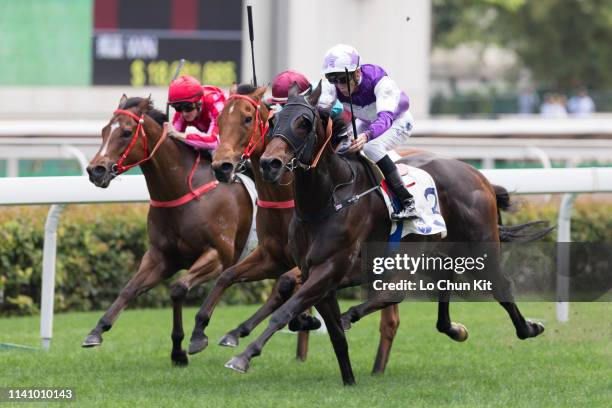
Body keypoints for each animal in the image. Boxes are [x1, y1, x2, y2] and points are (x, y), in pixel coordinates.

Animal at [83, 96, 253, 366]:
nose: (95, 171)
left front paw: (191, 341)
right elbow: (130, 289)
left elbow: (178, 288)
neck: (182, 190)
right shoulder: (161, 257)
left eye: (127, 132)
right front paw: (97, 330)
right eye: (104, 131)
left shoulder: (219, 255)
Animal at [226, 83, 548, 386]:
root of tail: (478, 175)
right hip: (434, 252)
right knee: (426, 287)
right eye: (273, 120)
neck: (326, 202)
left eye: (304, 122)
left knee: (499, 286)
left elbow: (285, 312)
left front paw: (243, 356)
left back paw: (529, 327)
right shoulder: (316, 275)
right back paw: (452, 328)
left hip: (479, 247)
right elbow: (334, 335)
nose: (270, 164)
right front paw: (349, 381)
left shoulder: (328, 270)